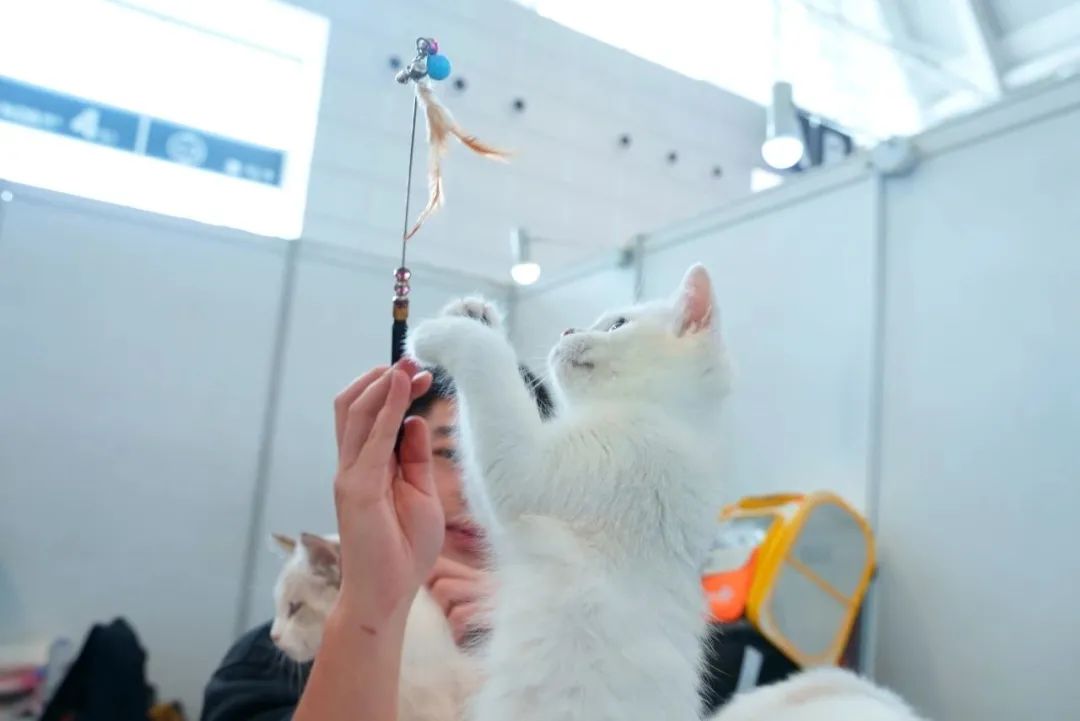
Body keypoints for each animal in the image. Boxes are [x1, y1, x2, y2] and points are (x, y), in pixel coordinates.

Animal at [408, 264, 731, 721]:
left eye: (616, 324)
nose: (567, 329)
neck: (664, 417)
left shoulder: (525, 468)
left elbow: (489, 360)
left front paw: (449, 331)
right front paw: (474, 313)